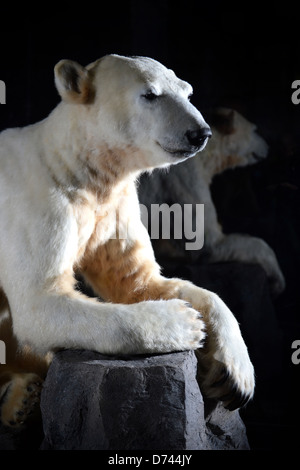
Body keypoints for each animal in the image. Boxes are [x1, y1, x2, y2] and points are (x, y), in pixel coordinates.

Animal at [0, 55, 253, 426]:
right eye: (150, 94)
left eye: (187, 91)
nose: (200, 133)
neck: (71, 162)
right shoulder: (37, 204)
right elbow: (40, 300)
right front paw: (185, 321)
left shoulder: (113, 208)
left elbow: (141, 281)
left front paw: (235, 376)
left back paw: (22, 397)